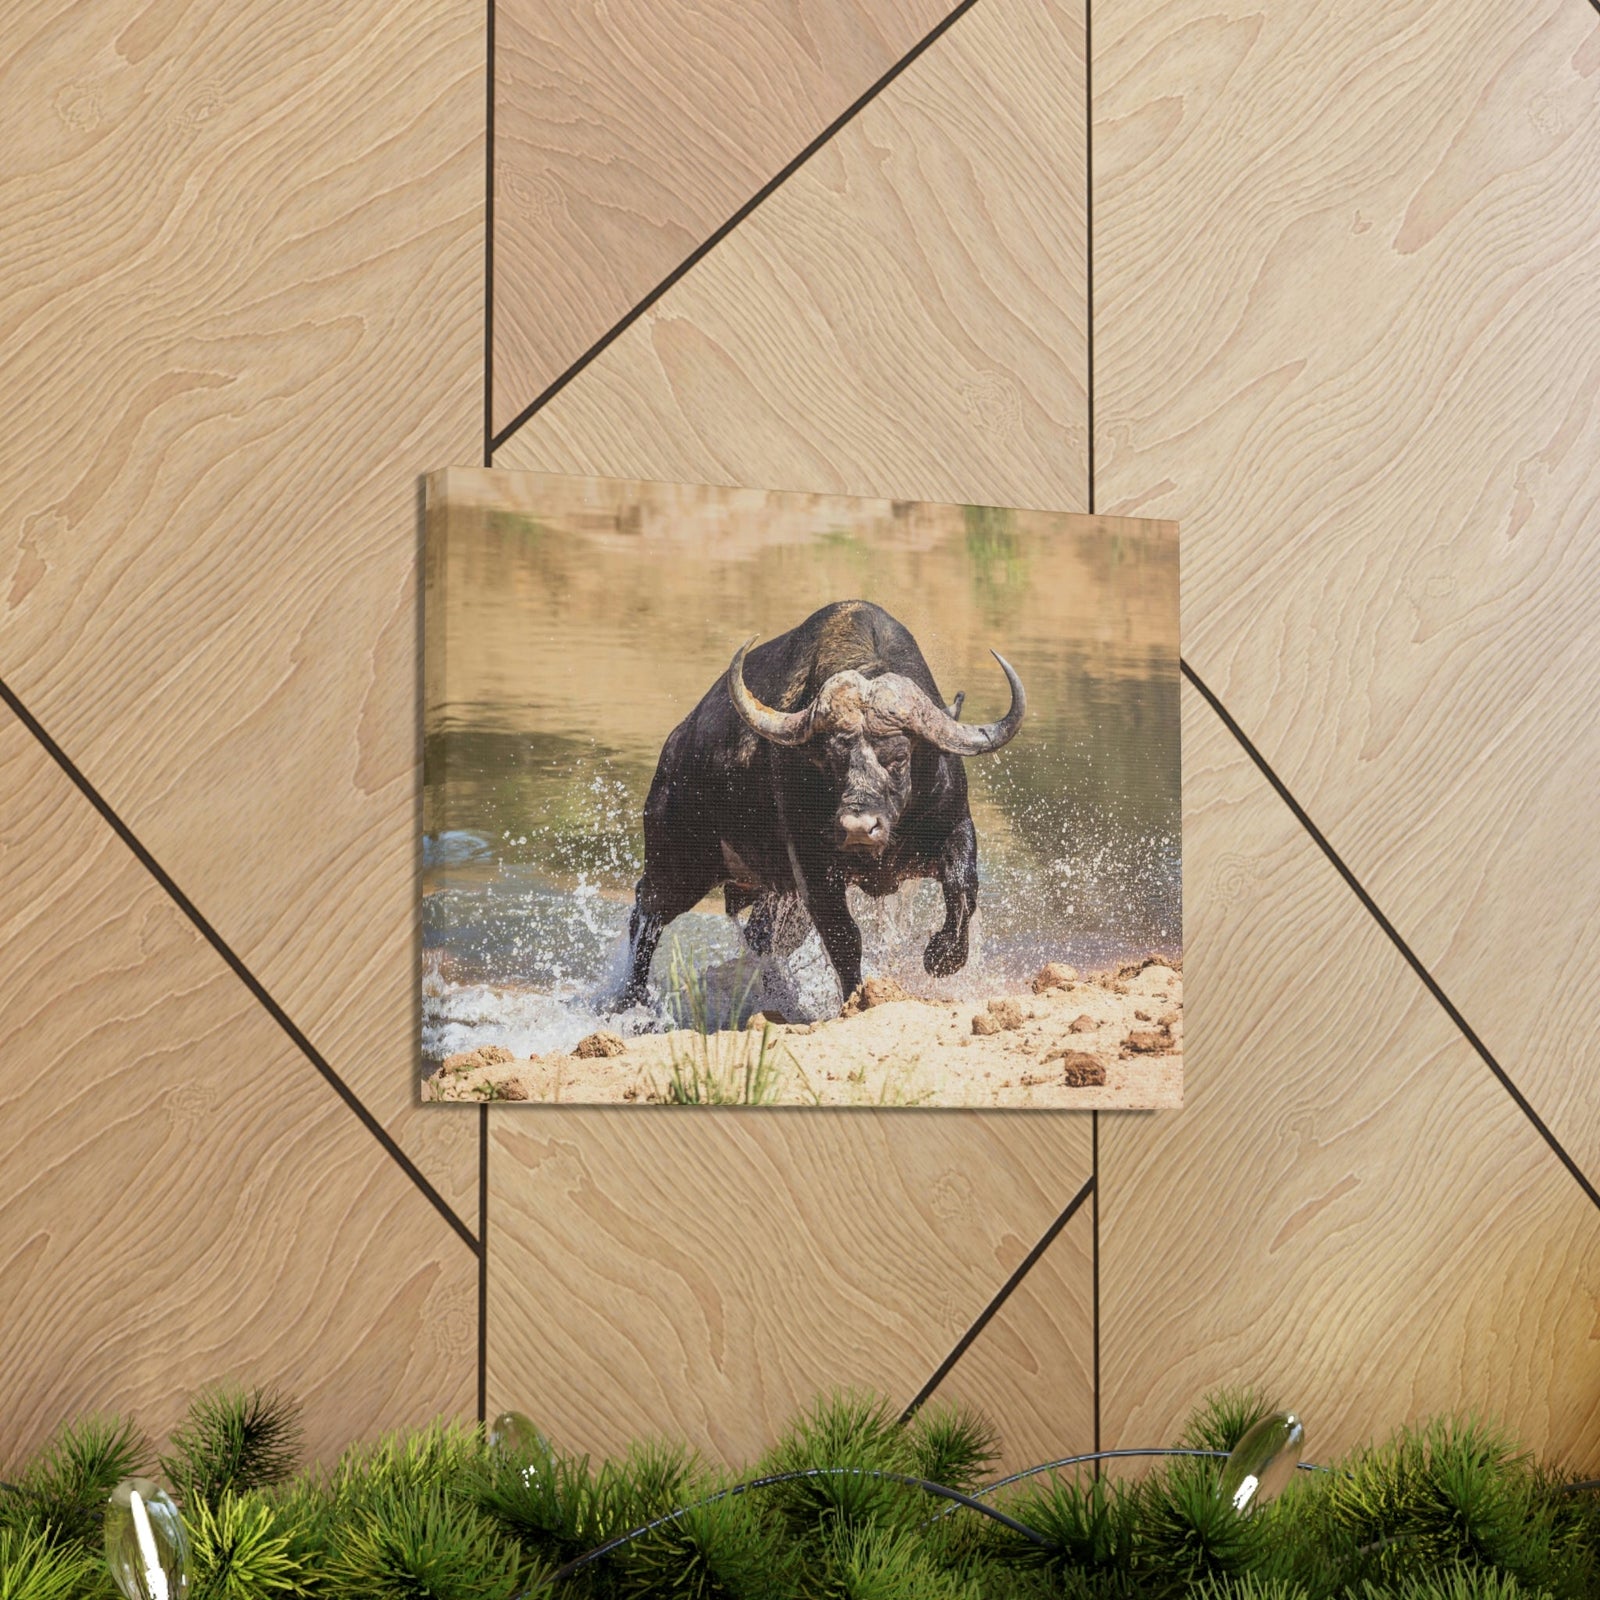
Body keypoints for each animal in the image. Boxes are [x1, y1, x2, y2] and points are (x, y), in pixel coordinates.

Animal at [618, 600, 1026, 1010]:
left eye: (899, 757)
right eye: (832, 760)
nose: (859, 828)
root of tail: (675, 747)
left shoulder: (954, 826)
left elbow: (963, 890)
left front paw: (942, 957)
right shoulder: (811, 864)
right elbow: (842, 935)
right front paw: (856, 997)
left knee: (760, 936)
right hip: (679, 864)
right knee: (646, 915)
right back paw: (632, 1002)